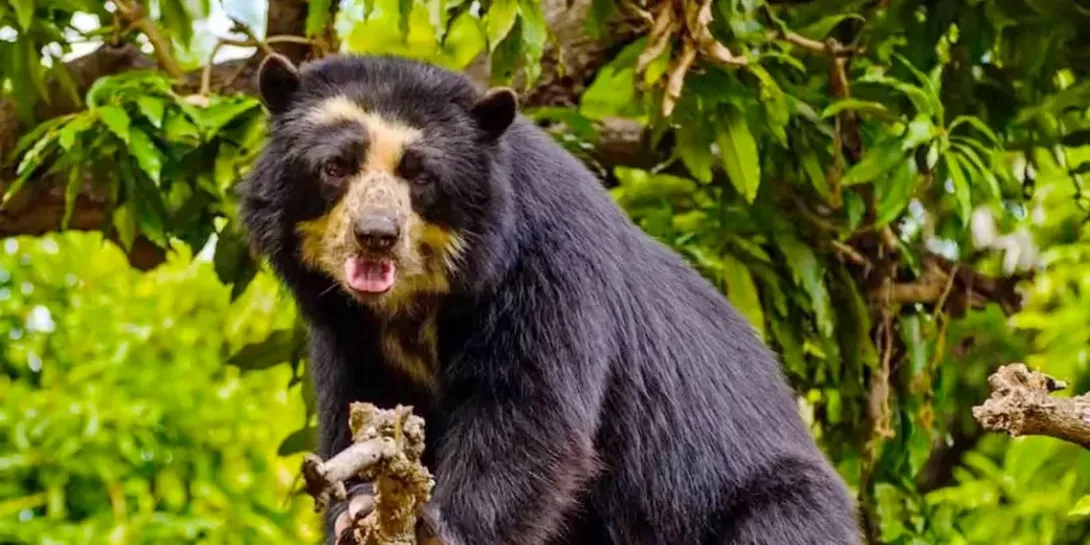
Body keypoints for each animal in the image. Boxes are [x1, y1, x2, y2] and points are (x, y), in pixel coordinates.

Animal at [239, 52, 861, 545]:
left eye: (421, 177)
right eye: (336, 167)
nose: (376, 235)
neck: (420, 301)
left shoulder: (545, 266)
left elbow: (528, 415)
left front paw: (443, 526)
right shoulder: (346, 331)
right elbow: (364, 409)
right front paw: (359, 507)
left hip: (763, 500)